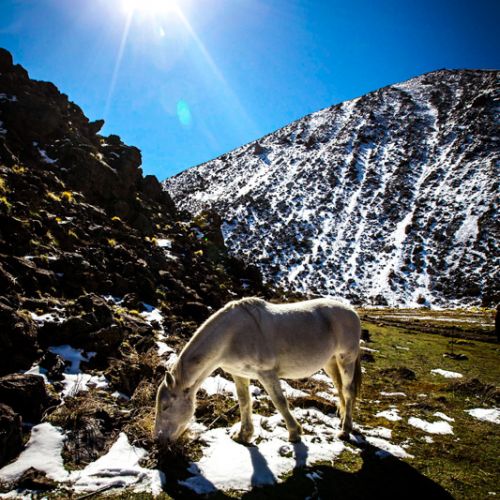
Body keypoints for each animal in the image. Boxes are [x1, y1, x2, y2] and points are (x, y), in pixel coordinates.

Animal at [154, 296, 362, 446]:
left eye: (165, 407)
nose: (158, 439)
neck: (231, 336)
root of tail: (352, 312)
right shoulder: (239, 374)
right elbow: (244, 401)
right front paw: (243, 435)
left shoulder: (267, 374)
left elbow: (279, 402)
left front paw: (294, 433)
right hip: (330, 363)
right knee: (340, 390)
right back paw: (343, 421)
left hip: (346, 359)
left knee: (348, 391)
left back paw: (345, 431)